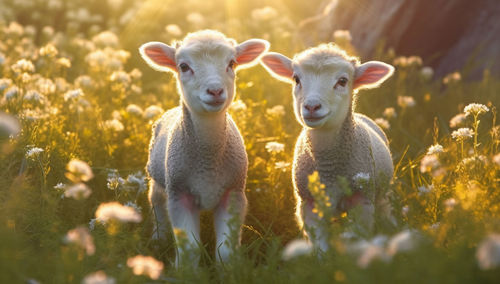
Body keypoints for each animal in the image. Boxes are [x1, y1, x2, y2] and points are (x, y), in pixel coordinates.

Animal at [139, 29, 272, 264]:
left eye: (232, 63)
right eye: (183, 66)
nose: (215, 91)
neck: (208, 160)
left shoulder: (233, 193)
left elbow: (226, 251)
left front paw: (228, 268)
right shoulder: (179, 194)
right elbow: (190, 249)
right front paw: (184, 268)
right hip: (158, 179)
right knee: (156, 203)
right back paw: (159, 238)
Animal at [262, 43, 394, 251]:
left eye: (342, 81)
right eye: (296, 78)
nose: (312, 106)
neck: (329, 165)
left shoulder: (362, 202)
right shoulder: (309, 204)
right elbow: (320, 246)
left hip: (382, 193)